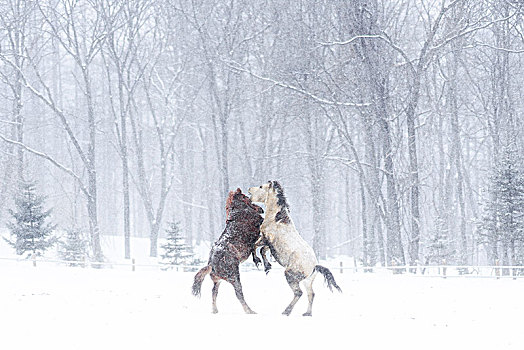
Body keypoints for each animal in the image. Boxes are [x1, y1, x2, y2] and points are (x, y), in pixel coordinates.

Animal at [251, 180, 342, 318]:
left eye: (261, 187)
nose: (249, 190)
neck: (276, 219)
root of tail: (314, 266)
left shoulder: (266, 238)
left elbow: (256, 247)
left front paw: (260, 263)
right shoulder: (269, 244)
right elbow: (263, 250)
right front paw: (267, 267)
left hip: (290, 275)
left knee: (299, 293)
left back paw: (286, 311)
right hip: (307, 281)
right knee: (311, 294)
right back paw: (307, 313)